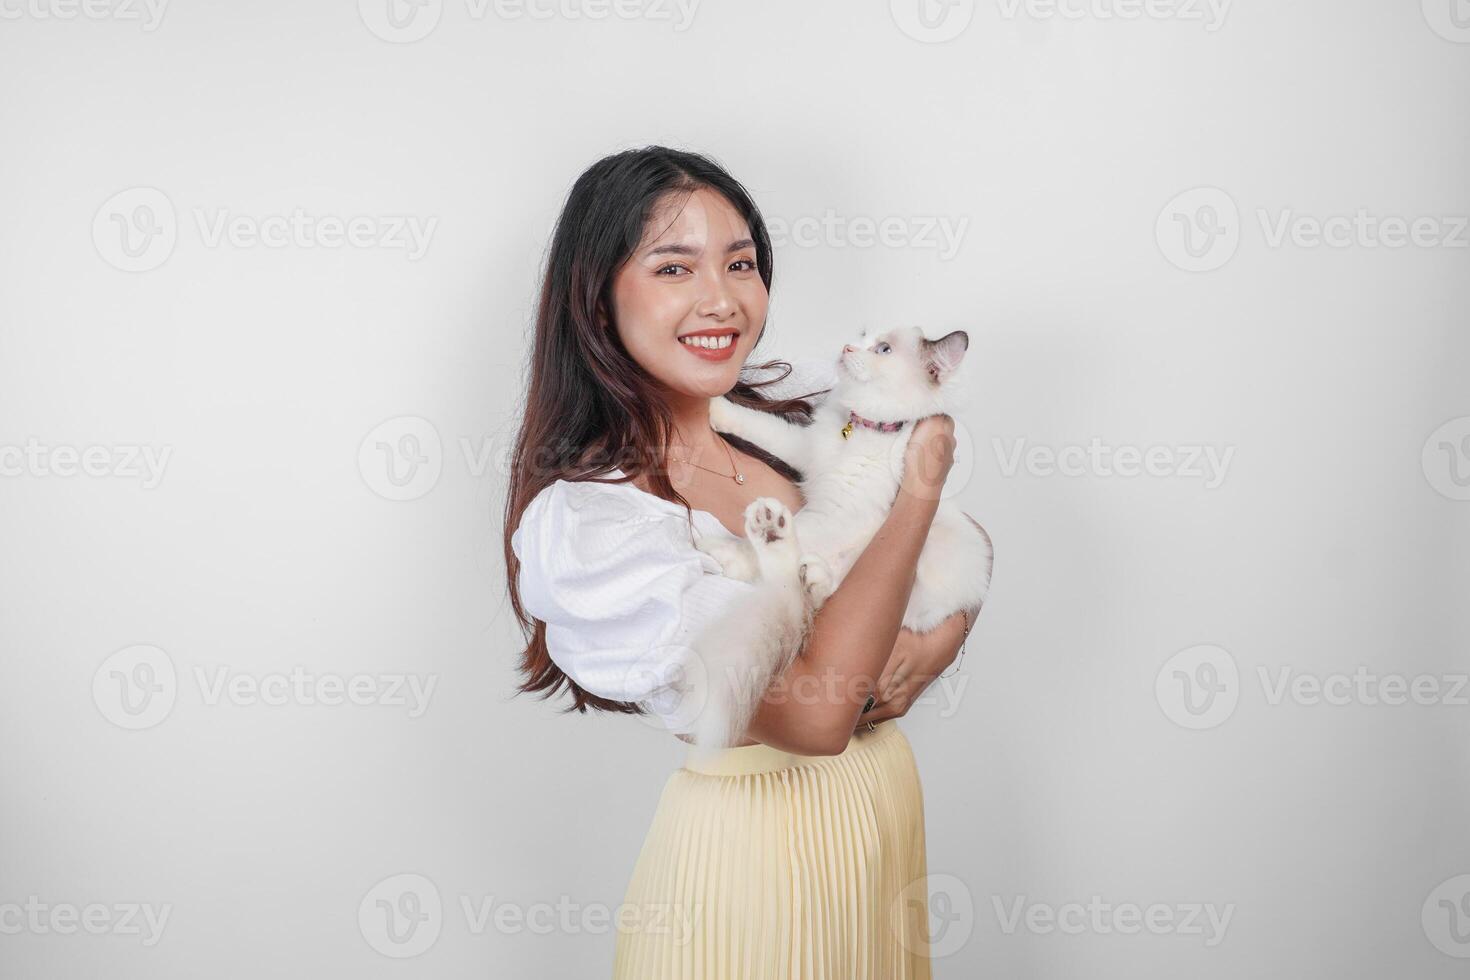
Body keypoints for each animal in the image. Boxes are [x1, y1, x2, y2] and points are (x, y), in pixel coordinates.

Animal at [682, 326, 993, 758]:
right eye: (863, 335)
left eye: (884, 349)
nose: (847, 348)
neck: (859, 429)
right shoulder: (803, 450)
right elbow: (759, 424)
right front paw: (715, 407)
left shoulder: (841, 512)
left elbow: (799, 531)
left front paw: (739, 550)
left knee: (799, 584)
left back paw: (760, 542)